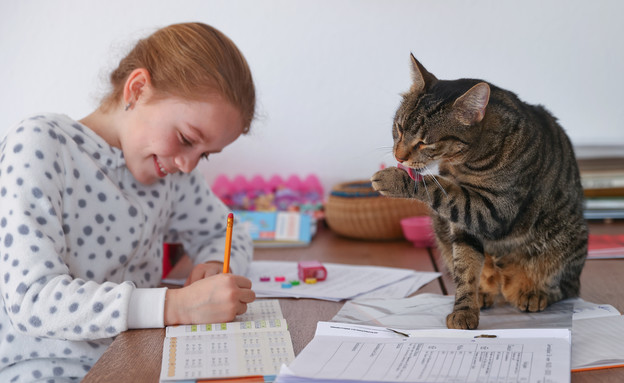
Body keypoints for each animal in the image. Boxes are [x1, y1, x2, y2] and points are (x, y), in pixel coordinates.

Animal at [372, 55, 588, 332]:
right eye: (398, 128)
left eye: (424, 142)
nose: (399, 157)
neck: (462, 162)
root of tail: (504, 281)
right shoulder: (463, 224)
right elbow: (465, 268)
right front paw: (465, 308)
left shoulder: (493, 210)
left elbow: (438, 188)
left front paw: (395, 179)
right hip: (440, 228)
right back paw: (484, 293)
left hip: (567, 239)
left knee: (566, 288)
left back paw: (534, 293)